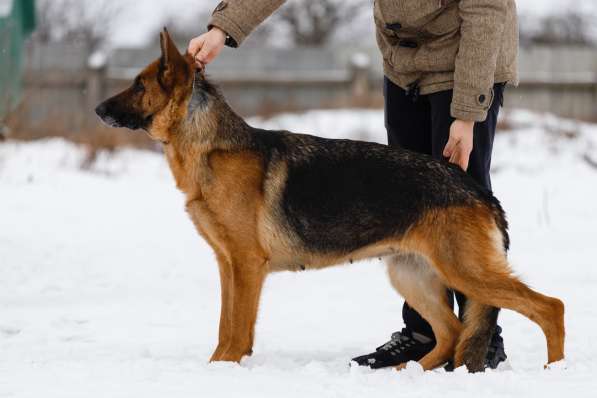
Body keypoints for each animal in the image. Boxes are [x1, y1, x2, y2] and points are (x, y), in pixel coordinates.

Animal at [96, 28, 564, 374]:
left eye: (138, 84)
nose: (99, 109)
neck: (210, 146)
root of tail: (480, 191)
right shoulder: (228, 265)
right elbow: (225, 326)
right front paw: (217, 368)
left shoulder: (246, 266)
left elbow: (237, 331)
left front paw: (225, 370)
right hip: (412, 275)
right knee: (450, 333)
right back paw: (407, 372)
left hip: (466, 273)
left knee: (548, 307)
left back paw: (554, 370)